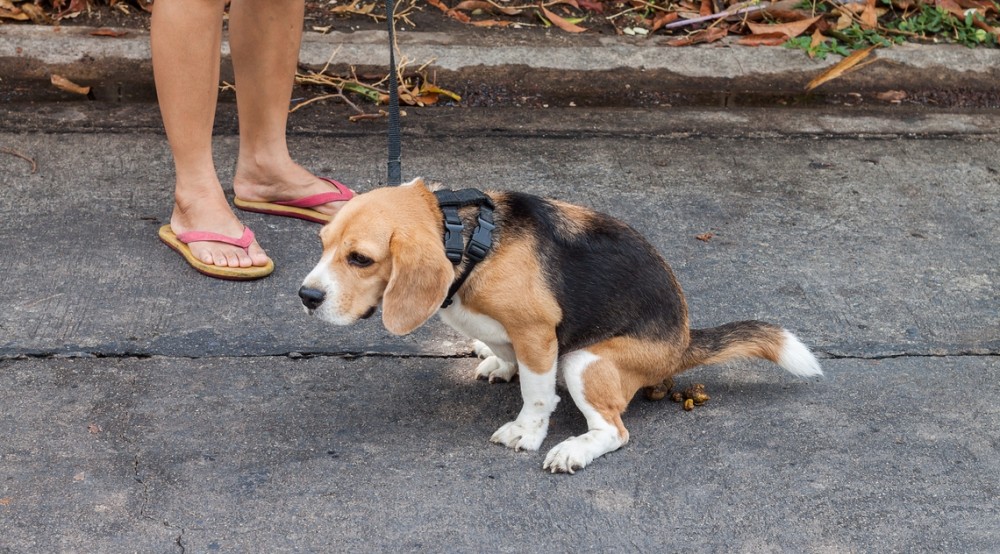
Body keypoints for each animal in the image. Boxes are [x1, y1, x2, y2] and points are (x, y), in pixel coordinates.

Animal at [296, 179, 820, 472]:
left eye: (360, 259)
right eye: (322, 245)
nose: (306, 297)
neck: (469, 239)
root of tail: (684, 341)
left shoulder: (537, 332)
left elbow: (536, 393)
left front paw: (527, 432)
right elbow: (508, 354)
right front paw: (500, 363)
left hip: (584, 361)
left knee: (614, 431)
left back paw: (574, 450)